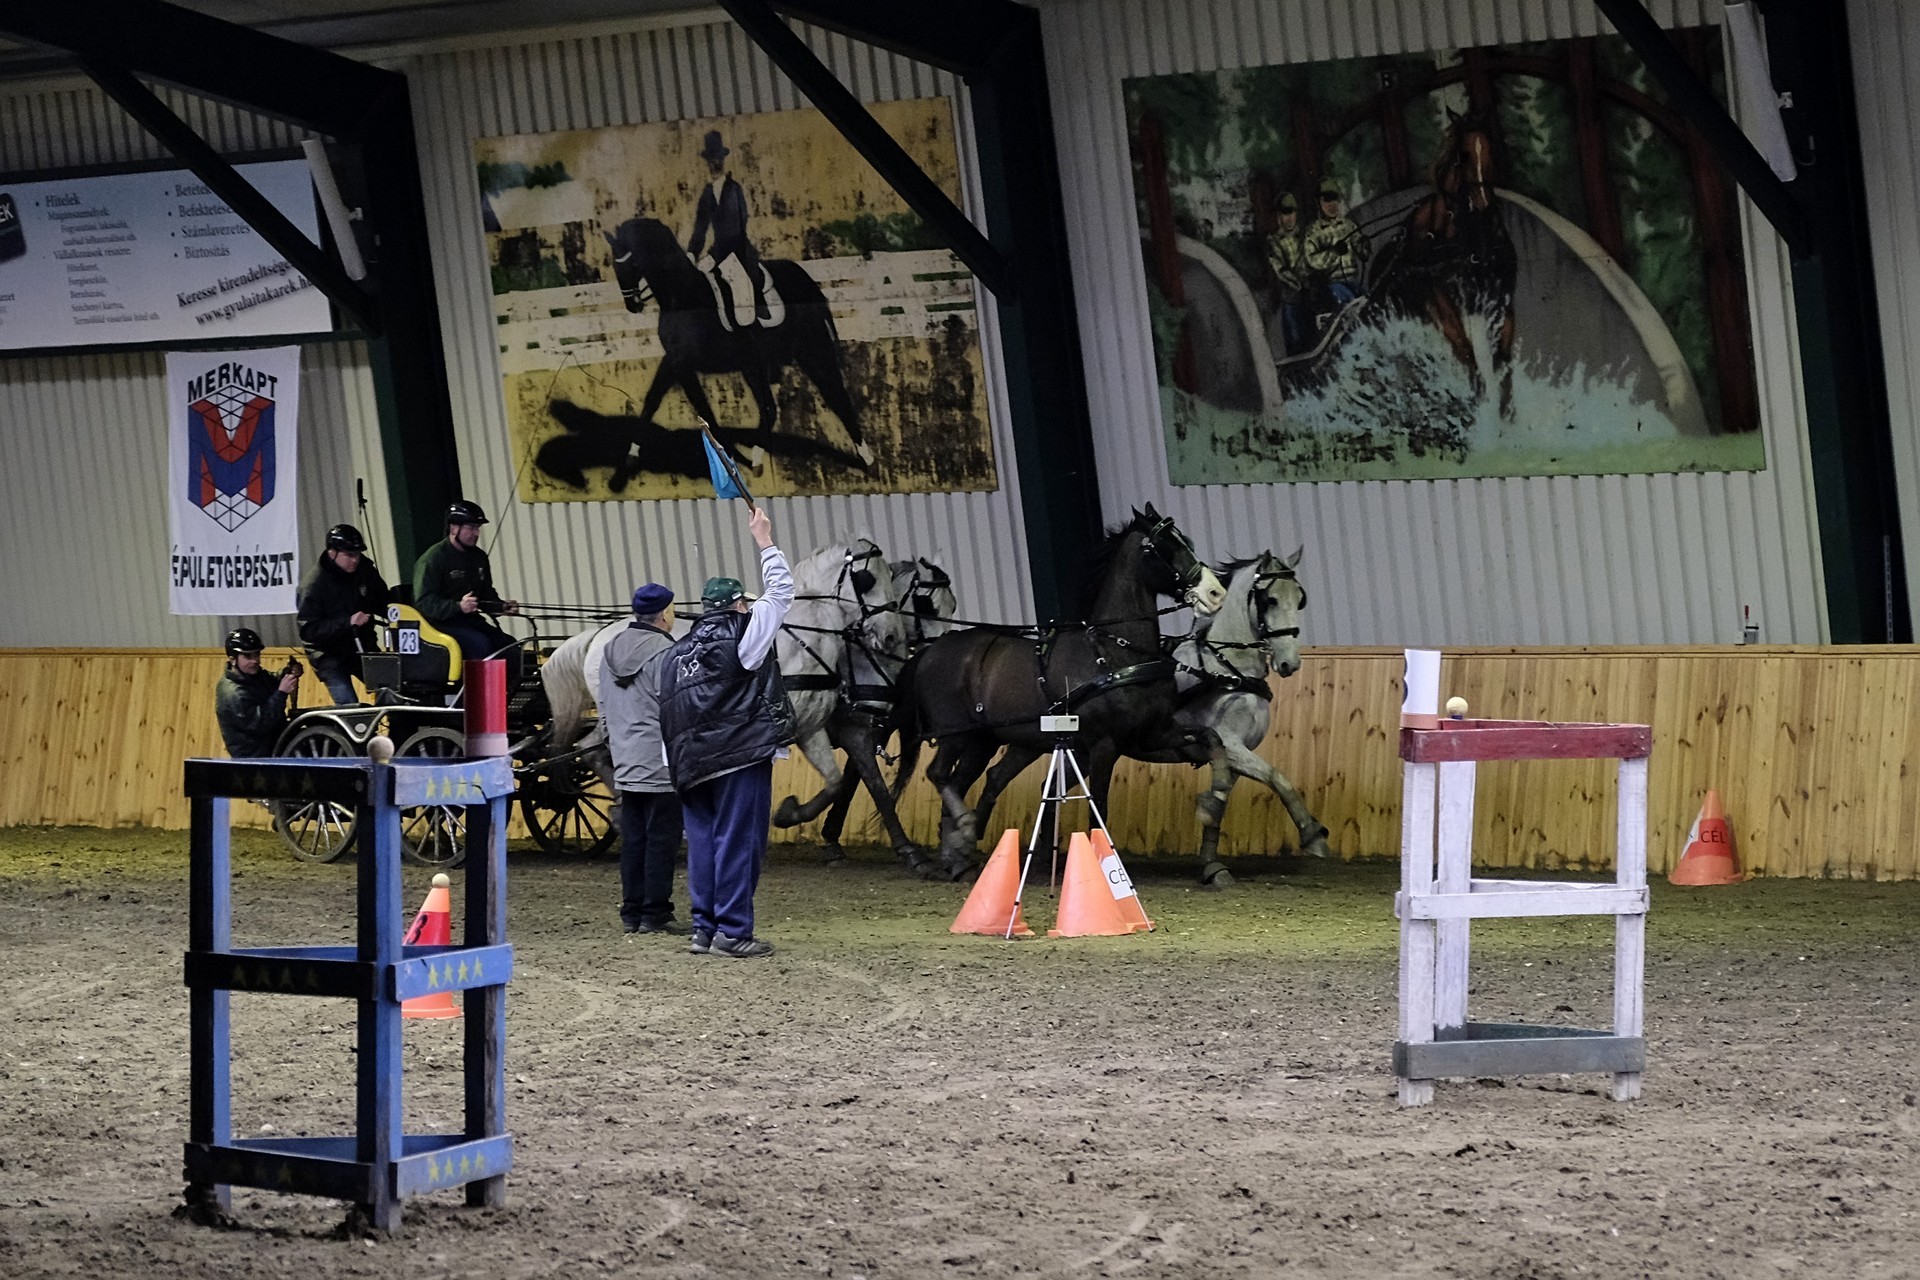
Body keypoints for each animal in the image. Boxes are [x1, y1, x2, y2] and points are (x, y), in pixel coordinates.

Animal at [601, 216, 871, 472]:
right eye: (615, 265)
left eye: (635, 264)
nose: (632, 305)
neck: (683, 297)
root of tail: (806, 281)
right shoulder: (676, 362)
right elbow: (665, 402)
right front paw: (633, 453)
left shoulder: (679, 360)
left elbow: (689, 406)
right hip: (753, 365)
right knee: (770, 408)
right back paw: (758, 458)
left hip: (813, 350)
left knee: (836, 397)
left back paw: (866, 458)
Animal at [773, 557, 959, 875]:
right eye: (926, 605)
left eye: (953, 605)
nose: (943, 651)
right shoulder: (853, 729)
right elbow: (859, 783)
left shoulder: (865, 732)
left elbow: (872, 785)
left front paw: (909, 851)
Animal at [897, 505, 1228, 868]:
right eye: (1162, 547)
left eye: (1187, 542)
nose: (1216, 593)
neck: (1116, 653)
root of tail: (931, 649)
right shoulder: (1104, 745)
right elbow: (1099, 805)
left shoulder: (1151, 734)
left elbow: (1213, 739)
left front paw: (1215, 800)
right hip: (955, 734)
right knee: (939, 773)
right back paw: (963, 832)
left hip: (984, 740)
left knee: (971, 779)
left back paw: (959, 852)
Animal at [1128, 550, 1332, 886]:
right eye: (1271, 599)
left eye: (1299, 599)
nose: (1290, 663)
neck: (1228, 670)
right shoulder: (1232, 745)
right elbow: (1278, 777)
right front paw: (1313, 834)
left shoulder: (1235, 755)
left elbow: (1222, 801)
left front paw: (1213, 866)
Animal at [1367, 110, 1519, 418]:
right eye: (1463, 155)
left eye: (1492, 149)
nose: (1485, 207)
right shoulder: (1439, 300)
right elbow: (1466, 353)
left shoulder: (1500, 298)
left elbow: (1502, 360)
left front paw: (1507, 413)